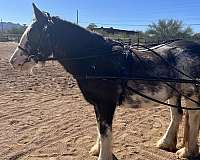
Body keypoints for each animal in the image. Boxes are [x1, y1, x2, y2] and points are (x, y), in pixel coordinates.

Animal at [9, 3, 200, 160]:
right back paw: (167, 143)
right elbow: (98, 127)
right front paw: (97, 149)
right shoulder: (97, 104)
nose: (13, 61)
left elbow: (105, 130)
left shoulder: (107, 104)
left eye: (33, 34)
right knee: (177, 115)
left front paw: (103, 155)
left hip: (191, 95)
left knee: (193, 117)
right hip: (174, 94)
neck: (97, 59)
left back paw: (187, 151)